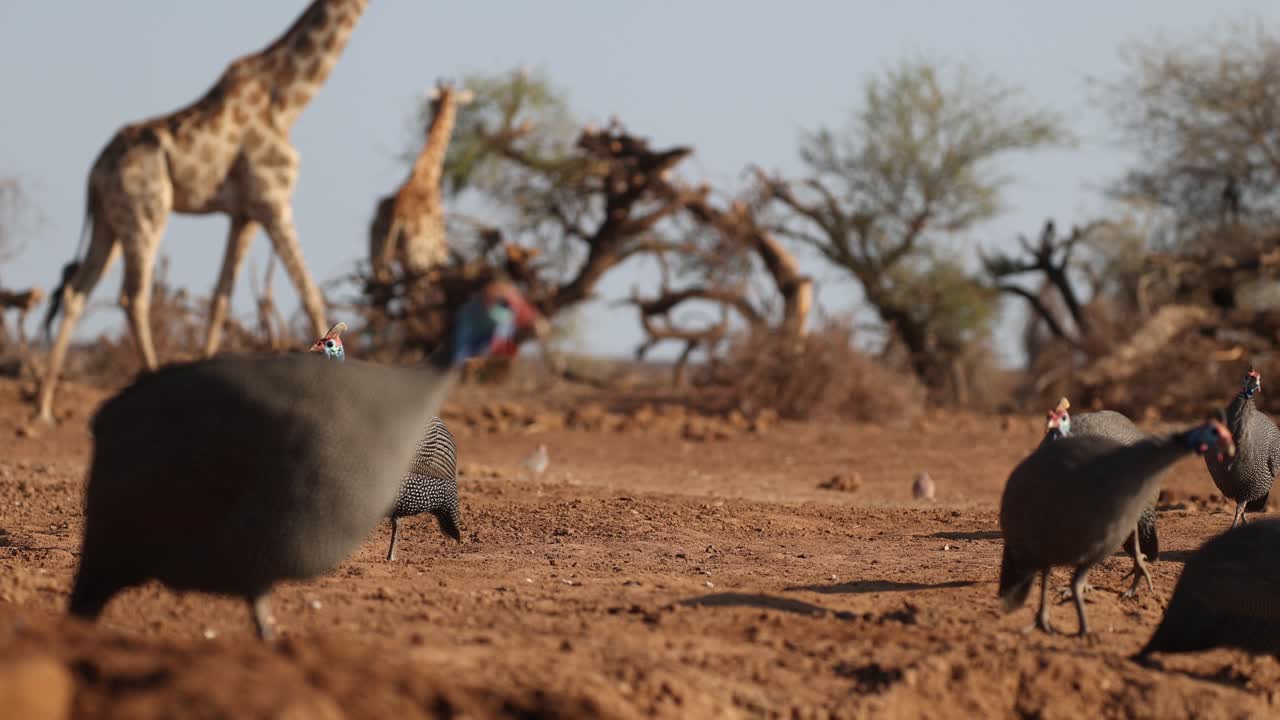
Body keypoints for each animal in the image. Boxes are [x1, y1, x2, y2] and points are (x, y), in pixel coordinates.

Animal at [35, 0, 369, 424]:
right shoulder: (274, 200)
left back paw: (44, 407)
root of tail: (93, 173)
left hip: (109, 223)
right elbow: (311, 295)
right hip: (145, 215)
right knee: (133, 297)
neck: (288, 100)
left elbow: (219, 300)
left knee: (77, 292)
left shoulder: (244, 215)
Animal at [368, 81, 470, 283]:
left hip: (379, 263)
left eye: (432, 103)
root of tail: (397, 218)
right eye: (456, 101)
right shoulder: (440, 254)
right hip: (419, 262)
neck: (427, 174)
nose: (426, 123)